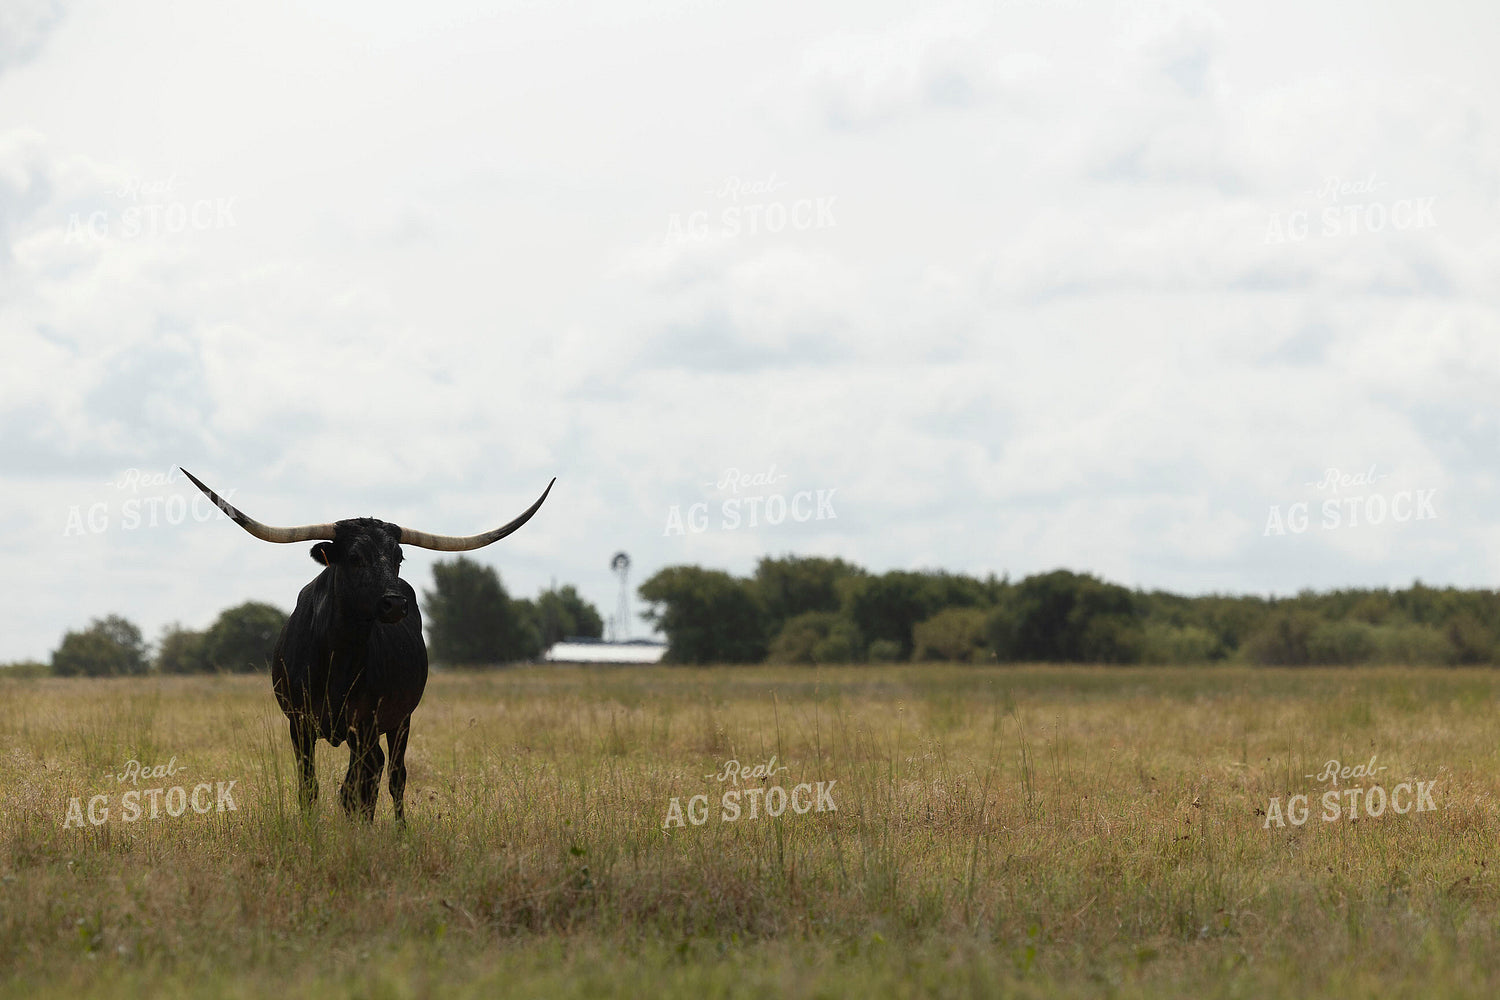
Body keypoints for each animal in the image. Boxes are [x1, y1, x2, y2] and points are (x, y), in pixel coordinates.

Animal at [181, 468, 553, 822]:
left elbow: (355, 788)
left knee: (392, 775)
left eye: (398, 557)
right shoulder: (299, 724)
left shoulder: (364, 724)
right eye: (355, 557)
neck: (336, 657)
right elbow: (309, 786)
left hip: (400, 720)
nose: (395, 604)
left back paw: (398, 830)